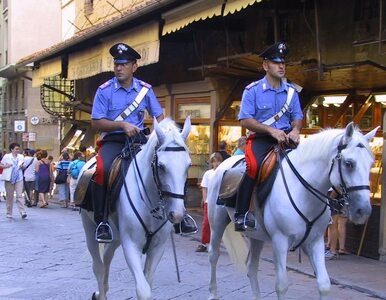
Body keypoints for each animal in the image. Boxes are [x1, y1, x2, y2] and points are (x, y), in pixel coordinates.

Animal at [79, 117, 193, 300]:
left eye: (188, 166)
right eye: (161, 166)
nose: (177, 214)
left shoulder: (157, 247)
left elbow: (148, 283)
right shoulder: (131, 245)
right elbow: (143, 290)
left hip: (117, 235)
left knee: (107, 257)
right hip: (89, 228)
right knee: (98, 266)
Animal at [207, 122, 378, 300]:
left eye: (371, 164)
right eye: (349, 163)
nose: (363, 211)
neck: (303, 191)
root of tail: (223, 165)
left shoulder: (315, 241)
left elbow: (324, 284)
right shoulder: (280, 241)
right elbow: (281, 286)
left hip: (256, 235)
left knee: (252, 266)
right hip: (217, 223)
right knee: (213, 255)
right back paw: (213, 293)